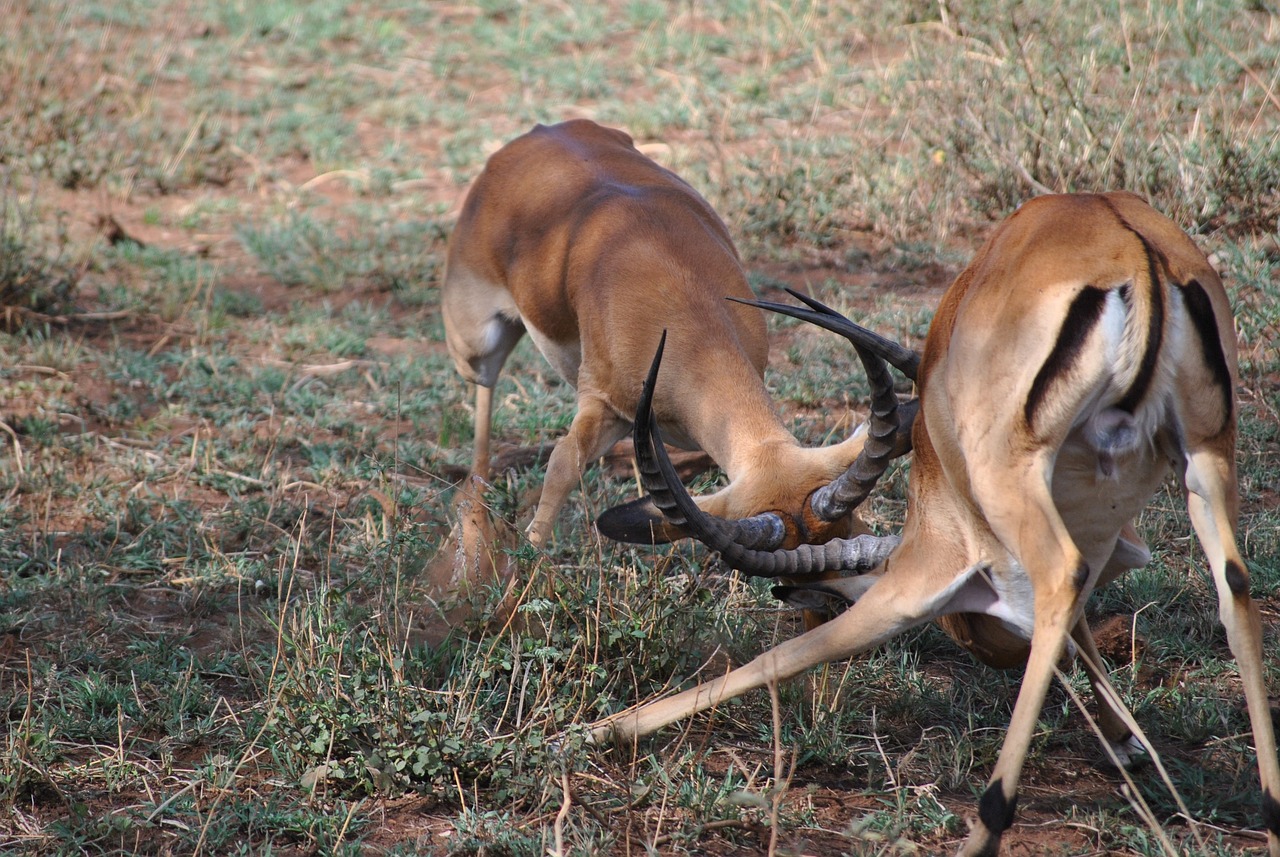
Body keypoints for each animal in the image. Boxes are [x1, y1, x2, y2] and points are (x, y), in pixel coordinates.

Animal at [440, 122, 911, 562]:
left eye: (843, 528)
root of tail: (537, 134)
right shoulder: (602, 401)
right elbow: (563, 465)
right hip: (475, 345)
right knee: (484, 398)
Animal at [588, 191, 1280, 854]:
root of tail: (1129, 250)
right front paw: (1127, 741)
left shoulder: (929, 569)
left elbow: (789, 653)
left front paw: (605, 730)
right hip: (1206, 454)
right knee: (1235, 590)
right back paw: (1269, 811)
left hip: (1014, 476)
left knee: (1063, 578)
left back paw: (986, 827)